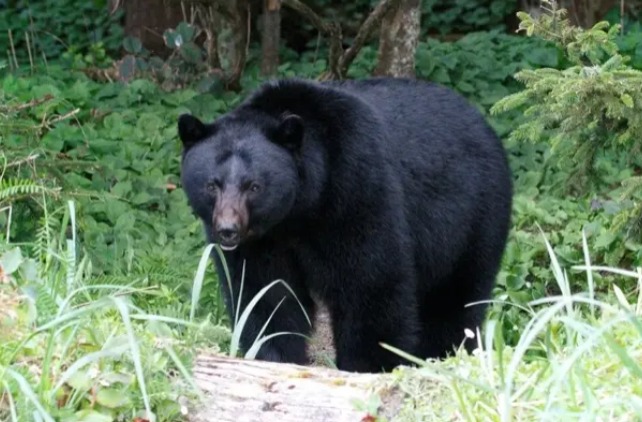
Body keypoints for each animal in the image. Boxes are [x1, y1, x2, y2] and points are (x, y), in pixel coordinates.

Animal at [177, 77, 513, 373]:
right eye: (212, 185)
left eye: (254, 186)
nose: (228, 230)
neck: (298, 211)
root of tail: (482, 121)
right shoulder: (263, 242)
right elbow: (266, 294)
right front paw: (273, 355)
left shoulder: (355, 187)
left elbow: (370, 282)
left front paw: (369, 365)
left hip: (473, 214)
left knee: (455, 298)